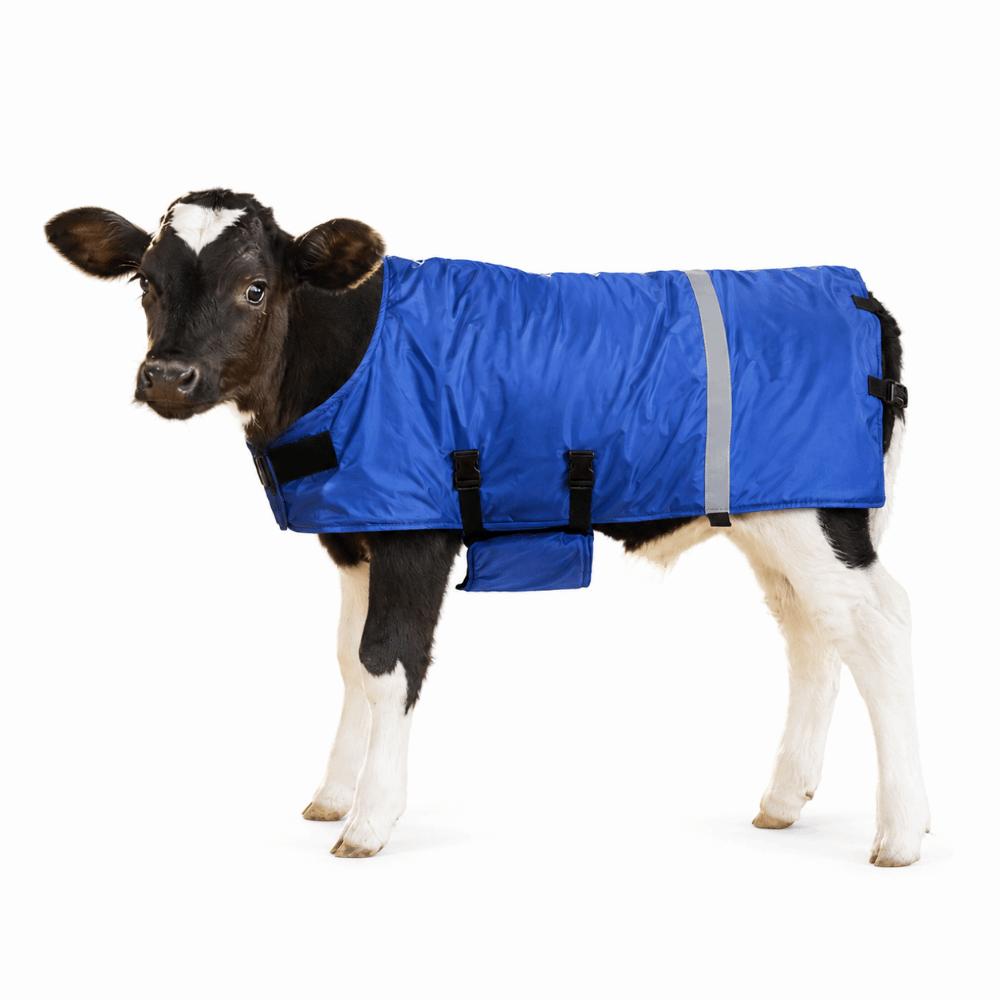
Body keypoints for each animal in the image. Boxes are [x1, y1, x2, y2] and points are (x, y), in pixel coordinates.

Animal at [44, 189, 929, 864]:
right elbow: (348, 661)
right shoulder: (357, 531)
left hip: (819, 513)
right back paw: (785, 799)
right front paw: (332, 793)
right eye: (147, 282)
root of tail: (857, 290)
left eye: (255, 286)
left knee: (879, 627)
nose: (168, 377)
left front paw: (370, 821)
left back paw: (902, 832)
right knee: (812, 632)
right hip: (770, 520)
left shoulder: (418, 532)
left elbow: (387, 661)